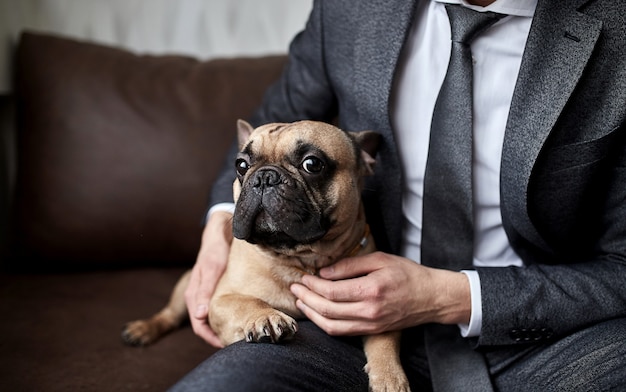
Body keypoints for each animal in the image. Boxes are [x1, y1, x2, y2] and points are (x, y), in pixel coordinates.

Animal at [122, 120, 410, 392]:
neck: (303, 258)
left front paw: (389, 376)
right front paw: (267, 317)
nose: (264, 177)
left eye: (312, 164)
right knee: (170, 315)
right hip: (187, 283)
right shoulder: (219, 300)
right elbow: (247, 302)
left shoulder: (378, 310)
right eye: (241, 165)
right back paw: (143, 329)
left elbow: (384, 340)